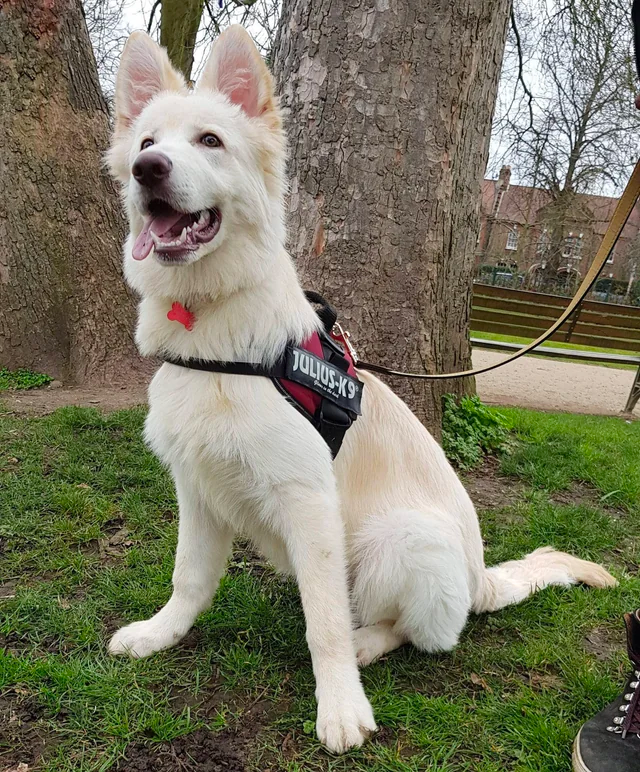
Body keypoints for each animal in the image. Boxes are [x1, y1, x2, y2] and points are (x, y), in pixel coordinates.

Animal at [107, 27, 616, 752]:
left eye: (210, 141)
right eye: (148, 142)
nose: (148, 170)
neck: (214, 329)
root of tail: (479, 579)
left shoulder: (309, 502)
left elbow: (323, 625)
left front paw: (341, 705)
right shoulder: (197, 487)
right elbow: (190, 578)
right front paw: (161, 634)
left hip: (398, 538)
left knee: (419, 632)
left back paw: (368, 643)